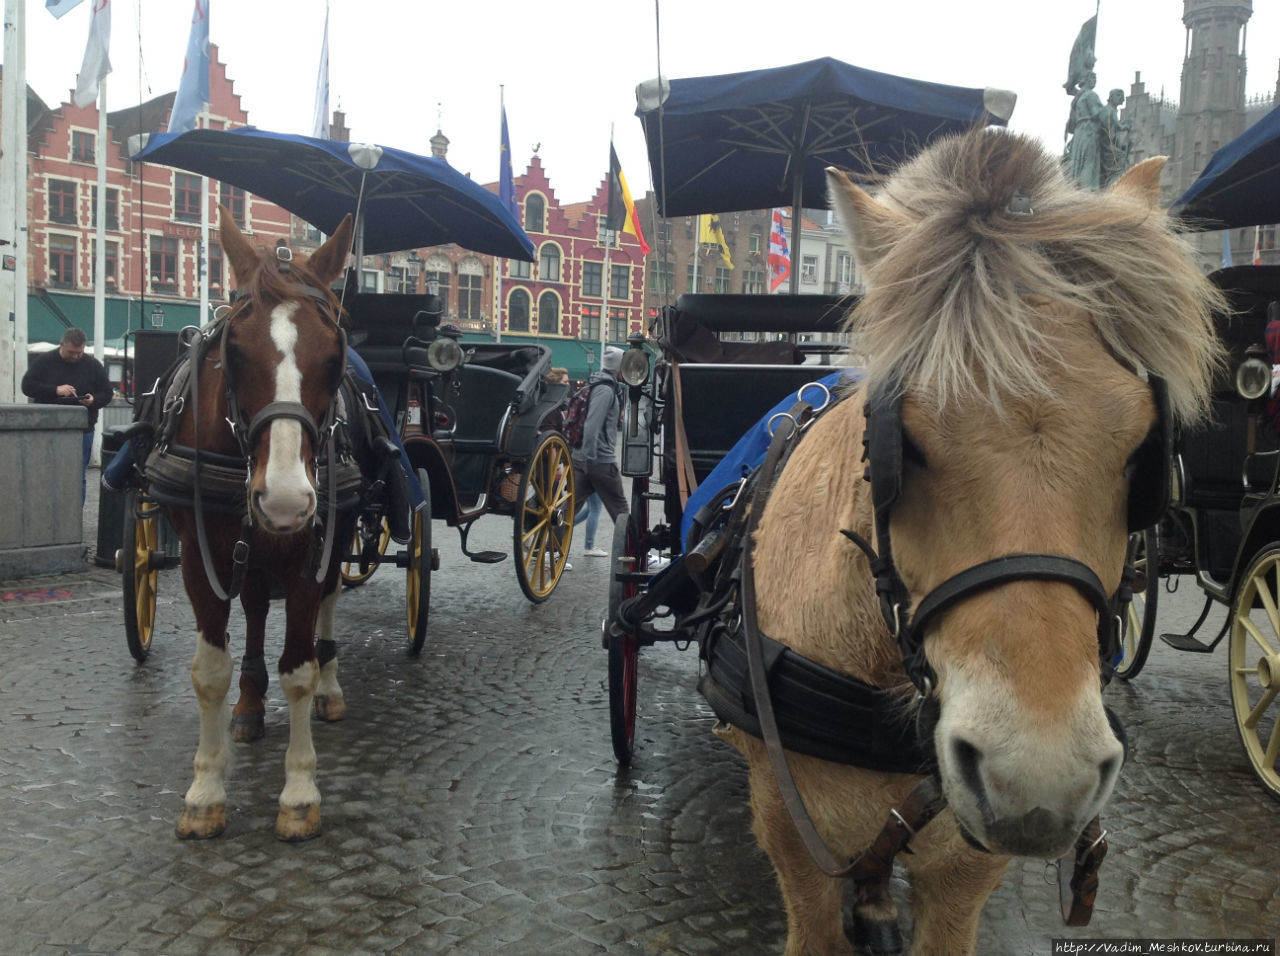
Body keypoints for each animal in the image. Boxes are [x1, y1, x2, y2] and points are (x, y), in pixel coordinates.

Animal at [165, 207, 358, 839]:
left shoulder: (308, 554)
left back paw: (331, 689)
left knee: (327, 612)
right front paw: (205, 793)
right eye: (236, 352)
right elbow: (209, 671)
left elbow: (299, 667)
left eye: (334, 357)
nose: (285, 501)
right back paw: (249, 706)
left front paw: (298, 794)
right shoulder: (198, 555)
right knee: (251, 610)